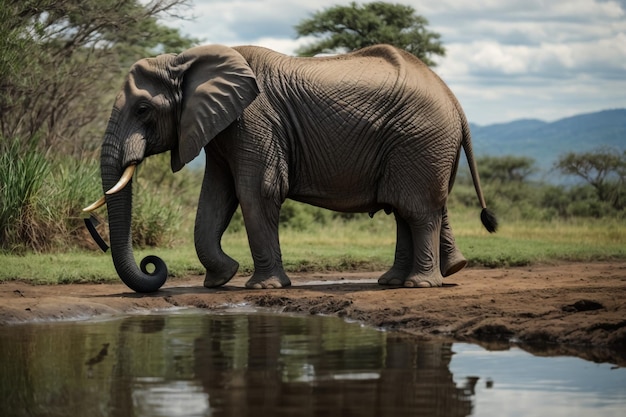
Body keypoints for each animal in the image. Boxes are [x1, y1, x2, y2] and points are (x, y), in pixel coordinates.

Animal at [83, 43, 494, 292]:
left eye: (142, 110)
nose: (153, 265)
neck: (187, 59)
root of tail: (454, 100)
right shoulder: (222, 129)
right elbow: (216, 198)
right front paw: (220, 280)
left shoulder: (254, 120)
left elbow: (255, 192)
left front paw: (261, 288)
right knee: (406, 211)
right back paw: (395, 281)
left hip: (419, 141)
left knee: (416, 211)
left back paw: (417, 285)